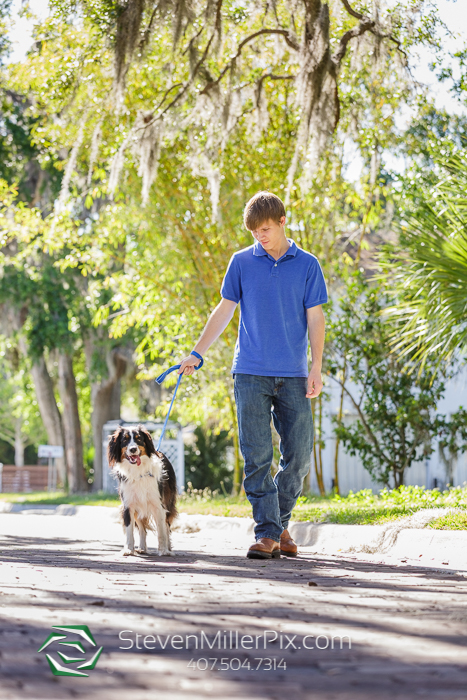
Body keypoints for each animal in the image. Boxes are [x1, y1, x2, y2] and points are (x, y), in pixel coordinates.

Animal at [109, 424, 178, 556]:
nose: (133, 449)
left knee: (166, 526)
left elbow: (161, 531)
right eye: (124, 440)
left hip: (167, 503)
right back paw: (142, 548)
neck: (138, 471)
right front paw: (129, 549)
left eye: (139, 439)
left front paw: (163, 550)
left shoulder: (158, 505)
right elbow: (129, 530)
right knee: (142, 529)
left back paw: (168, 549)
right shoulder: (128, 505)